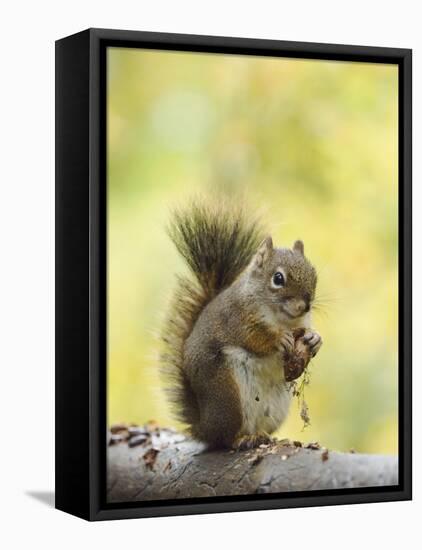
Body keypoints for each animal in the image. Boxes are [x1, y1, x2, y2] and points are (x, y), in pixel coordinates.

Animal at [160, 201, 322, 450]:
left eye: (314, 275)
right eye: (278, 278)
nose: (305, 306)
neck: (282, 318)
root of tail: (204, 428)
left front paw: (314, 339)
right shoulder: (236, 318)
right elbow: (254, 338)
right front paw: (279, 339)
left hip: (275, 408)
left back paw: (266, 437)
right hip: (227, 393)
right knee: (225, 438)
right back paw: (242, 439)